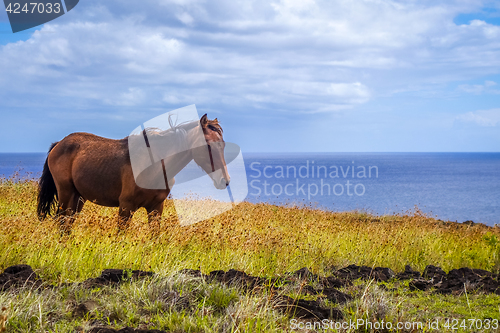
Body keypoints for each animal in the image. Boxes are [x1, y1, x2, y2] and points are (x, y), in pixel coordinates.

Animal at [37, 113, 230, 230]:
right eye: (207, 144)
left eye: (223, 145)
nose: (225, 180)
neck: (155, 165)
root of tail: (59, 144)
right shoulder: (125, 208)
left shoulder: (156, 208)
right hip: (66, 194)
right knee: (62, 222)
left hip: (78, 198)